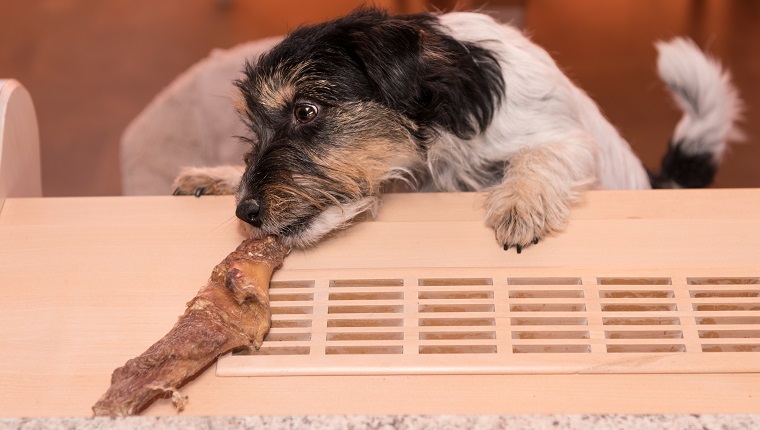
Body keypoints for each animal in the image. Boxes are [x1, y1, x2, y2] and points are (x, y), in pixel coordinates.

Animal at [172, 7, 744, 252]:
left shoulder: (567, 140)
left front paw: (520, 205)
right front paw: (215, 175)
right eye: (253, 127)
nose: (246, 212)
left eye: (307, 112)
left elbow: (539, 156)